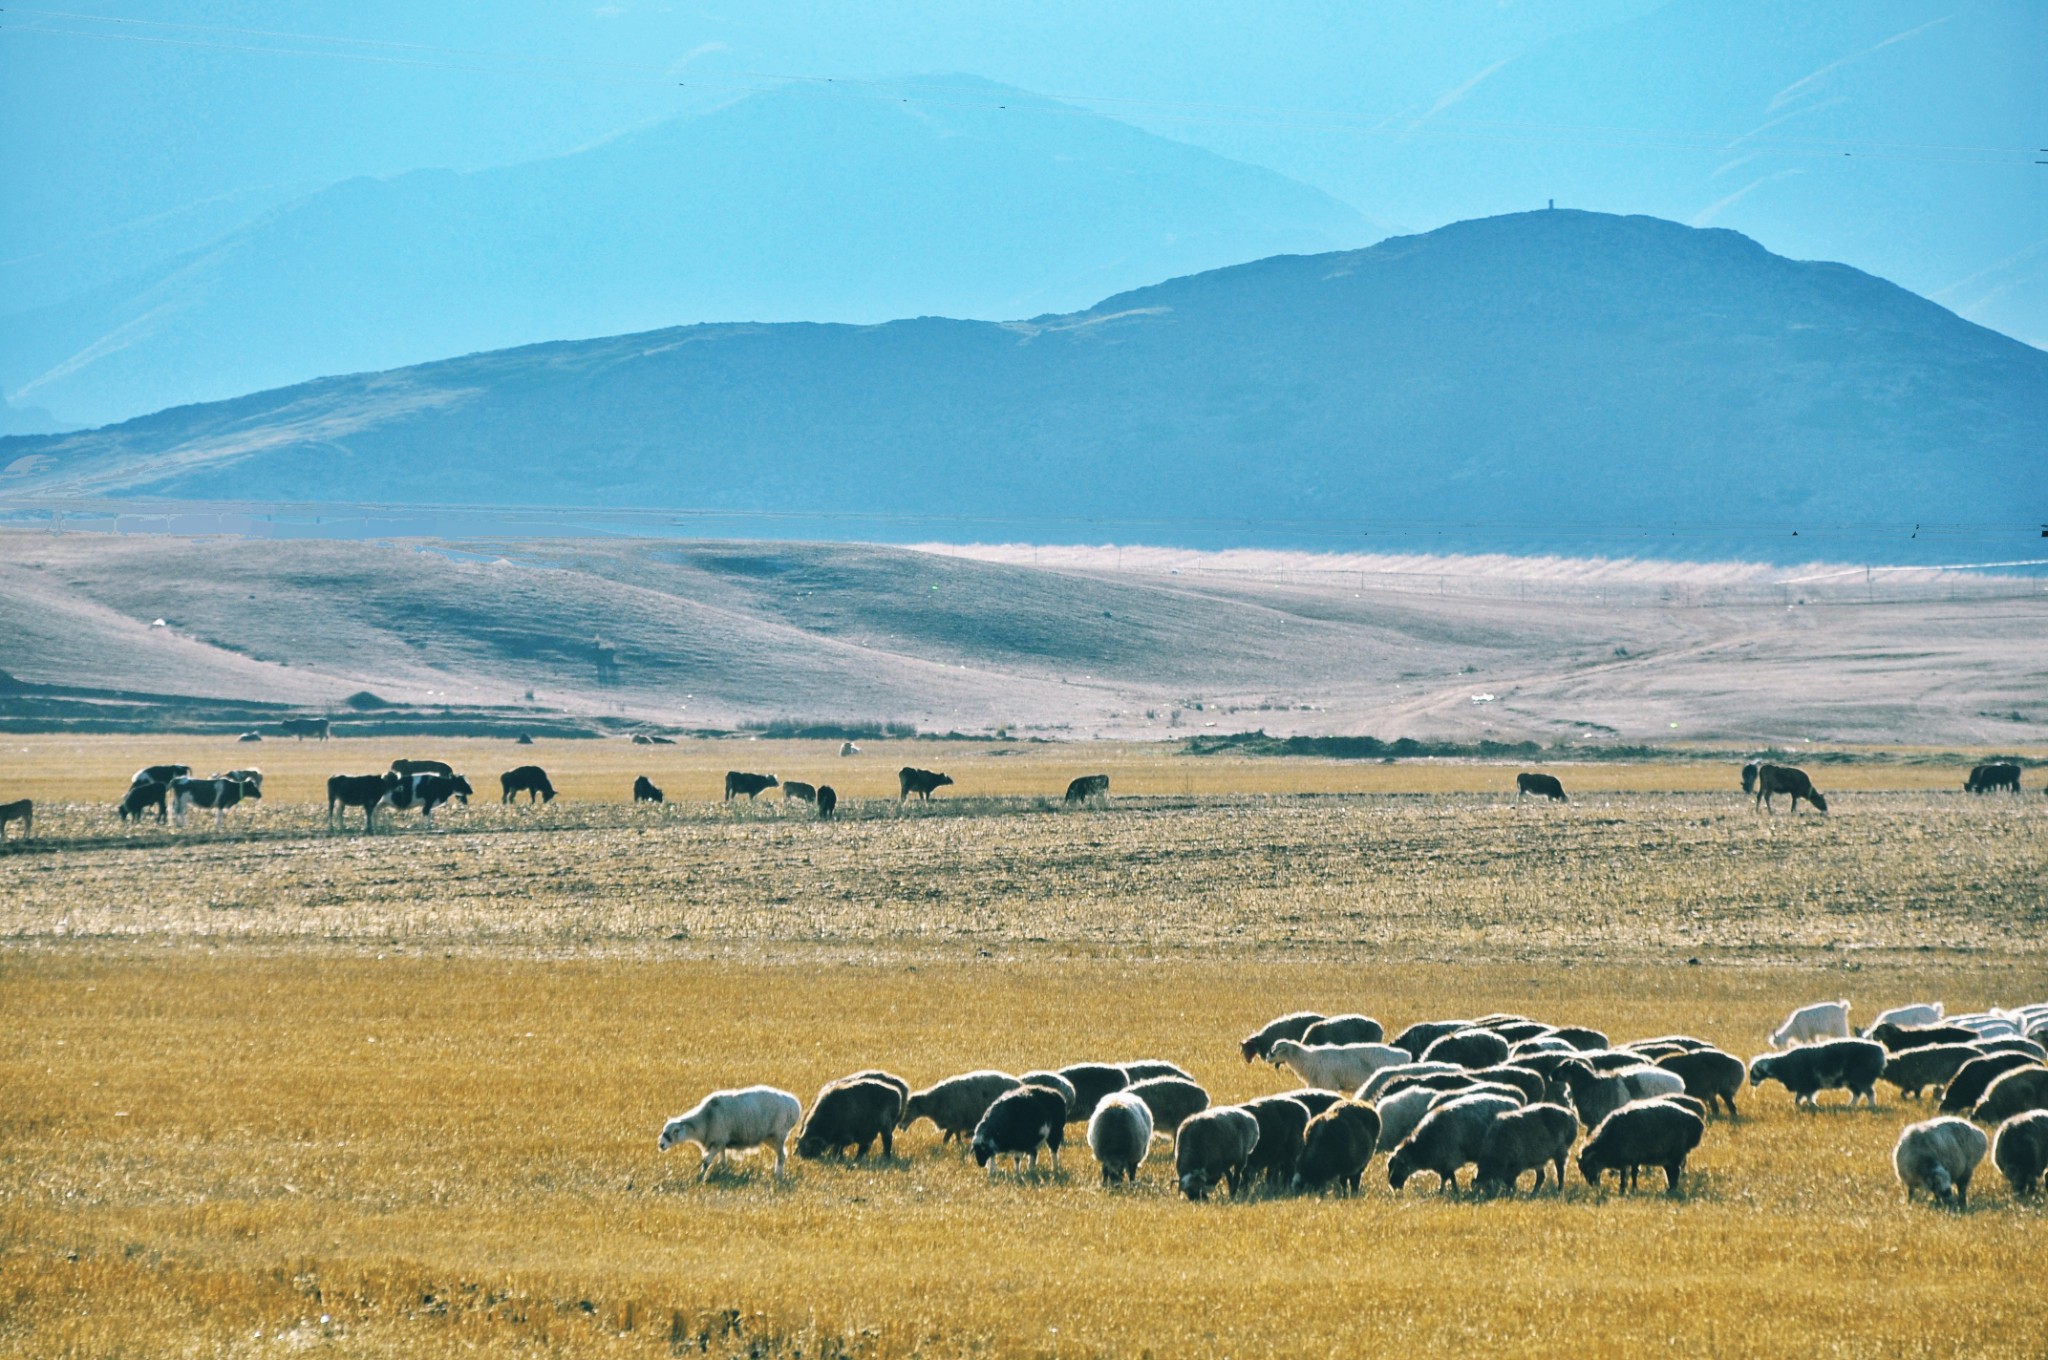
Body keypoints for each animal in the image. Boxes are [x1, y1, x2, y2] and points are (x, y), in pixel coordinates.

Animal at [663, 1081, 806, 1179]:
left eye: (674, 1132)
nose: (661, 1145)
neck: (704, 1119)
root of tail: (794, 1104)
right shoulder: (721, 1142)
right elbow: (722, 1160)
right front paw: (724, 1173)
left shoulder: (716, 1140)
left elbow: (706, 1162)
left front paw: (700, 1179)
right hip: (770, 1137)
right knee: (782, 1154)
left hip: (778, 1134)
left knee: (781, 1156)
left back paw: (778, 1176)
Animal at [1261, 1040, 1409, 1097]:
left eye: (1275, 1050)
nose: (1267, 1058)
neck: (1307, 1059)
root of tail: (1405, 1054)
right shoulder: (1316, 1084)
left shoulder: (1329, 1084)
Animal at [1384, 1089, 1531, 1196]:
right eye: (1389, 1166)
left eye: (1399, 1165)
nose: (1392, 1185)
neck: (1423, 1145)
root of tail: (1515, 1104)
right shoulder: (1443, 1161)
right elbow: (1449, 1177)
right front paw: (1450, 1191)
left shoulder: (1449, 1157)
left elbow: (1447, 1177)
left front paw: (1445, 1192)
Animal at [1572, 1097, 1703, 1196]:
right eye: (1582, 1170)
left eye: (1589, 1167)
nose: (1593, 1185)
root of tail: (1696, 1121)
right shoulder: (1627, 1159)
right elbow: (1626, 1175)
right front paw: (1624, 1190)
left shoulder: (1633, 1157)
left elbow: (1631, 1174)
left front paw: (1631, 1189)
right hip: (1668, 1157)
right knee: (1670, 1173)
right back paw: (1669, 1189)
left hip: (1676, 1152)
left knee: (1676, 1172)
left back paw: (1671, 1190)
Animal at [1744, 1036, 1884, 1114]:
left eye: (1754, 1072)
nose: (1751, 1083)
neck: (1783, 1065)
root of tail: (1880, 1052)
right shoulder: (1806, 1086)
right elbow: (1803, 1097)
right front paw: (1807, 1106)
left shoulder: (1805, 1084)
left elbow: (1804, 1098)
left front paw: (1809, 1106)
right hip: (1852, 1080)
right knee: (1857, 1094)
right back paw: (1850, 1106)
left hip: (1861, 1078)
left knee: (1870, 1093)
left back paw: (1871, 1106)